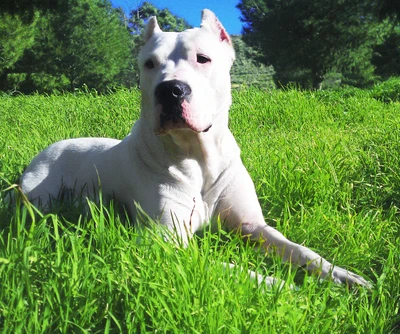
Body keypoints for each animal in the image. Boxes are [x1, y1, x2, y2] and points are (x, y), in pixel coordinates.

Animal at [20, 9, 372, 288]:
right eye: (149, 64)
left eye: (203, 58)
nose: (170, 90)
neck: (198, 156)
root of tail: (52, 146)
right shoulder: (166, 243)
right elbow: (234, 269)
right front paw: (285, 287)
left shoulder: (252, 225)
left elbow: (300, 249)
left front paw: (343, 276)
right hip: (38, 198)